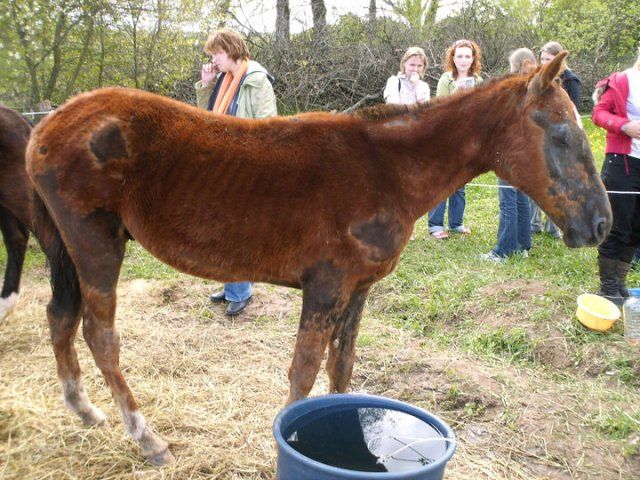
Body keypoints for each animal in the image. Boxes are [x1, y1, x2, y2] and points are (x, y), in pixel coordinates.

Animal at [27, 53, 612, 464]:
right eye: (562, 134)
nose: (601, 224)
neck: (387, 169)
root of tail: (45, 128)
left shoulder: (358, 289)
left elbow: (340, 368)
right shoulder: (326, 285)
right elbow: (304, 372)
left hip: (68, 248)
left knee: (60, 317)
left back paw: (85, 411)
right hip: (97, 245)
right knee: (99, 334)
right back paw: (148, 439)